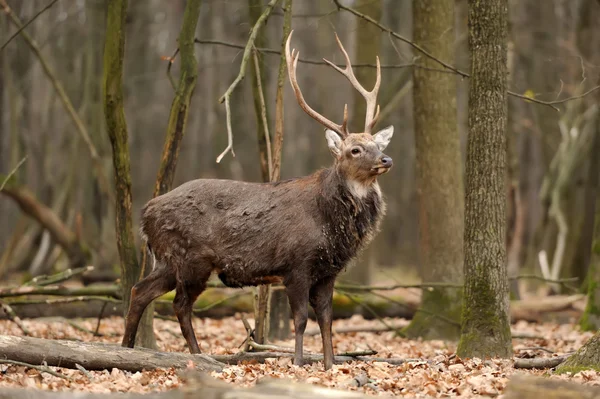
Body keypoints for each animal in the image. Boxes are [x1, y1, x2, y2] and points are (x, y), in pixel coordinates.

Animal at [121, 31, 394, 372]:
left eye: (378, 145)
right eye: (354, 150)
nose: (386, 159)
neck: (330, 223)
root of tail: (146, 212)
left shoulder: (328, 272)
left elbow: (327, 320)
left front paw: (330, 365)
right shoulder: (297, 264)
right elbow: (300, 319)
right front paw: (298, 362)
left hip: (169, 260)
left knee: (140, 291)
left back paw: (129, 349)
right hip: (189, 257)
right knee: (179, 304)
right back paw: (196, 356)